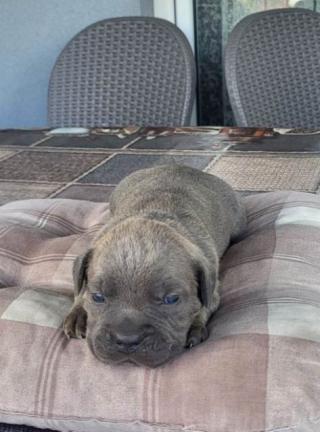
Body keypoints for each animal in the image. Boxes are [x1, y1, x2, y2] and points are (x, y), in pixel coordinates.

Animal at [63, 165, 246, 368]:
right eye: (98, 297)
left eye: (171, 299)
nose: (127, 339)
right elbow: (80, 291)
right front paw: (77, 313)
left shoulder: (212, 289)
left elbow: (204, 306)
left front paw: (195, 326)